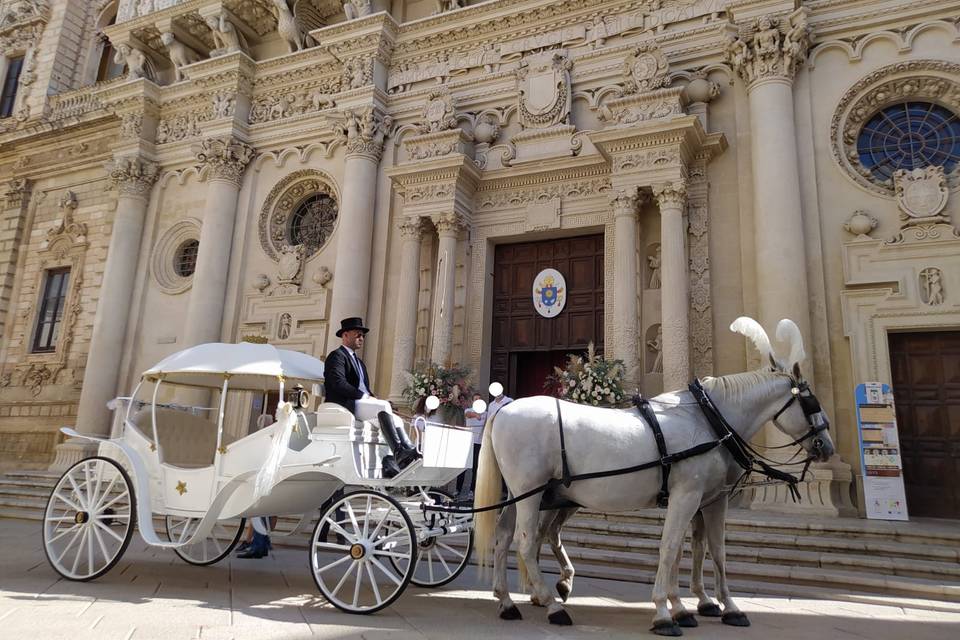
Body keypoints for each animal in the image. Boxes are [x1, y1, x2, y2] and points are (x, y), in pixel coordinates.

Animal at [476, 318, 836, 636]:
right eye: (810, 402)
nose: (827, 447)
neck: (709, 420)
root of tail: (504, 410)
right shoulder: (687, 495)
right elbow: (671, 546)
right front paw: (666, 612)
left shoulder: (711, 499)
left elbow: (711, 549)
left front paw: (717, 606)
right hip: (532, 491)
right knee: (525, 542)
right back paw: (552, 605)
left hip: (524, 494)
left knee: (505, 537)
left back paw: (508, 601)